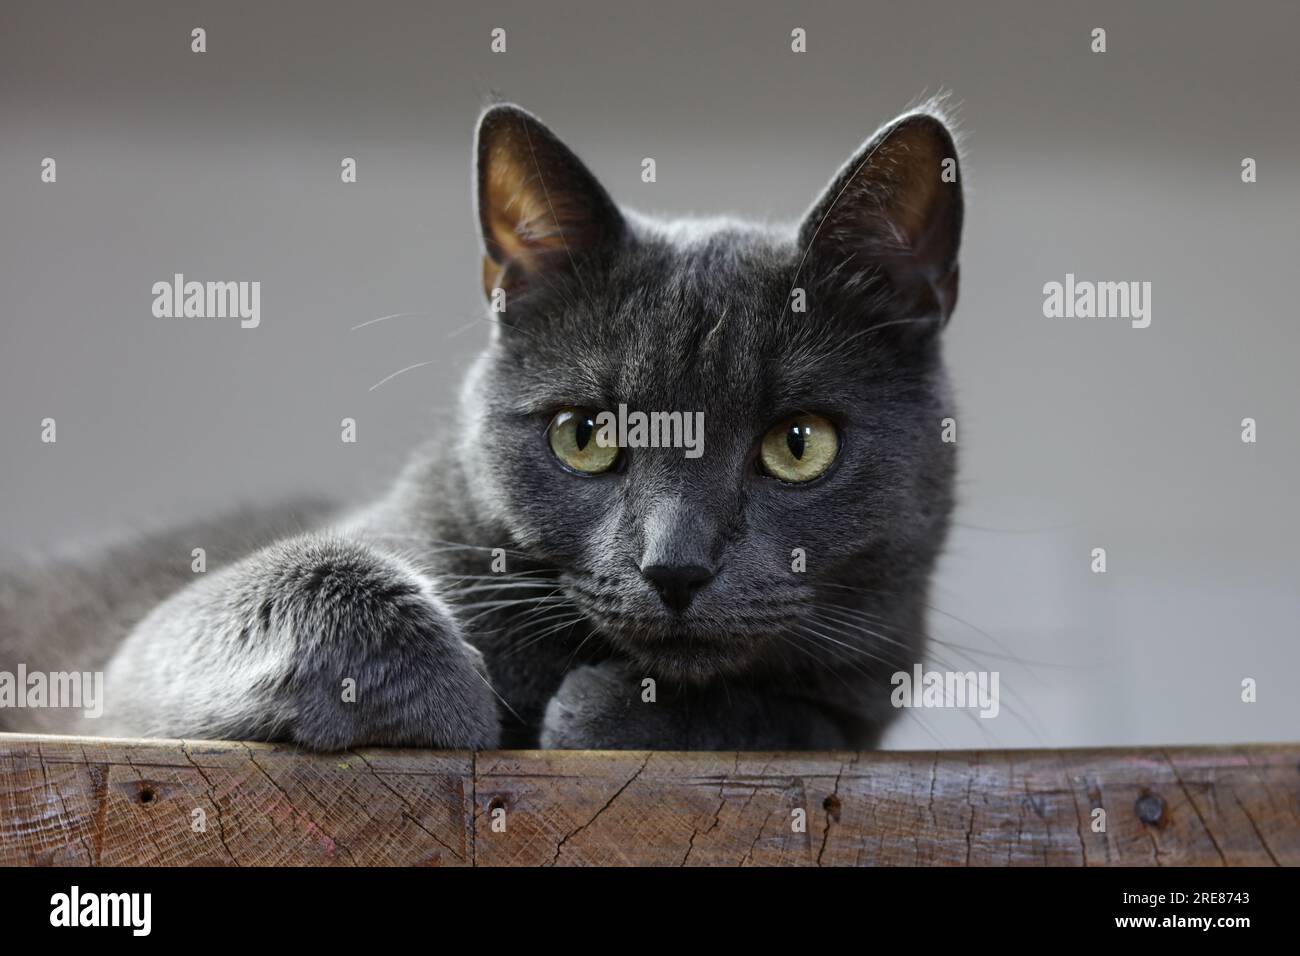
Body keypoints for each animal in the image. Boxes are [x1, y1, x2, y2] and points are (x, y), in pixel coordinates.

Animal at [0, 100, 961, 749]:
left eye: (799, 444)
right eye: (584, 434)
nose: (675, 566)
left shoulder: (867, 683)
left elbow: (805, 714)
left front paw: (606, 714)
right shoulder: (120, 683)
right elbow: (303, 575)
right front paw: (449, 701)